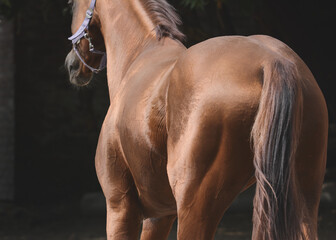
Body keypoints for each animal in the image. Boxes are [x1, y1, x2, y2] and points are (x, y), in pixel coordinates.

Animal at [65, 0, 328, 239]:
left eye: (72, 5)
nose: (71, 65)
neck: (140, 56)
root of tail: (272, 60)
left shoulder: (119, 207)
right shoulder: (160, 216)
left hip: (196, 205)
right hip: (303, 199)